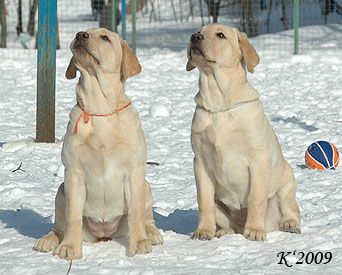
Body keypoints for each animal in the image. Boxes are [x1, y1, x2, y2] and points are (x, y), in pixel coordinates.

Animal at [34, 28, 162, 258]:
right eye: (84, 32)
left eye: (105, 38)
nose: (80, 34)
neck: (100, 108)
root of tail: (104, 234)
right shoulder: (74, 172)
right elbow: (73, 215)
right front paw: (69, 248)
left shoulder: (134, 169)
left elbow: (136, 212)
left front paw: (139, 243)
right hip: (61, 191)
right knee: (59, 226)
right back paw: (49, 240)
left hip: (146, 187)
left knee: (147, 218)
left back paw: (152, 234)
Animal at [186, 24, 300, 243]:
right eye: (200, 30)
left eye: (221, 35)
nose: (194, 36)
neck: (219, 104)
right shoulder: (200, 161)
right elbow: (203, 200)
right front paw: (203, 231)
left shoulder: (258, 159)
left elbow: (256, 198)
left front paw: (255, 230)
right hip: (221, 205)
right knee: (226, 219)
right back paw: (224, 231)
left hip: (286, 182)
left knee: (291, 209)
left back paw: (289, 224)